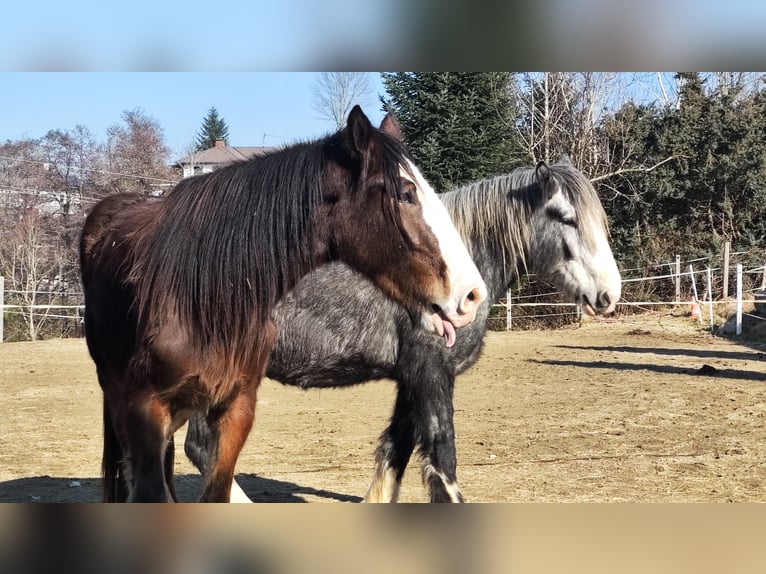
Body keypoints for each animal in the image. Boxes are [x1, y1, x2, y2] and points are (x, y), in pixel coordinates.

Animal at [184, 159, 623, 502]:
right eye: (565, 217)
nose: (608, 294)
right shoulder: (432, 371)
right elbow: (442, 459)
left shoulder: (412, 377)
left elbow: (397, 449)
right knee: (203, 449)